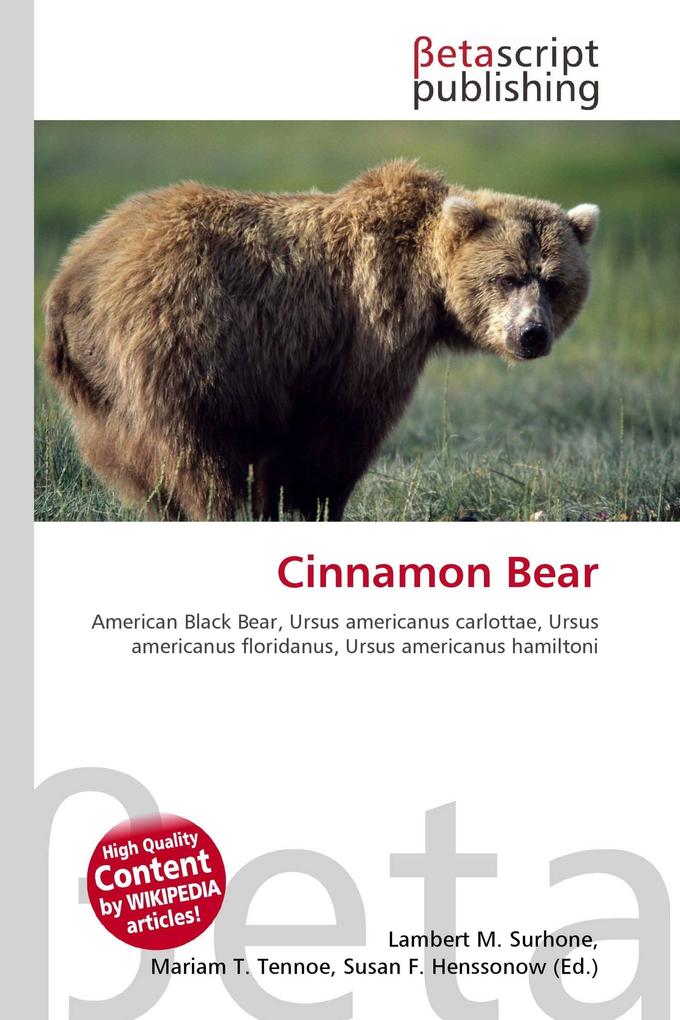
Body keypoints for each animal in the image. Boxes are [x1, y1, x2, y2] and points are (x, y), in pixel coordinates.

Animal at [43, 160, 598, 521]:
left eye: (553, 281)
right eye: (507, 277)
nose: (531, 333)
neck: (427, 285)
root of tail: (76, 272)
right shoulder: (363, 330)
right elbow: (340, 429)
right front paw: (311, 503)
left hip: (99, 388)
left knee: (134, 460)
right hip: (185, 340)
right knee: (197, 447)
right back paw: (218, 509)